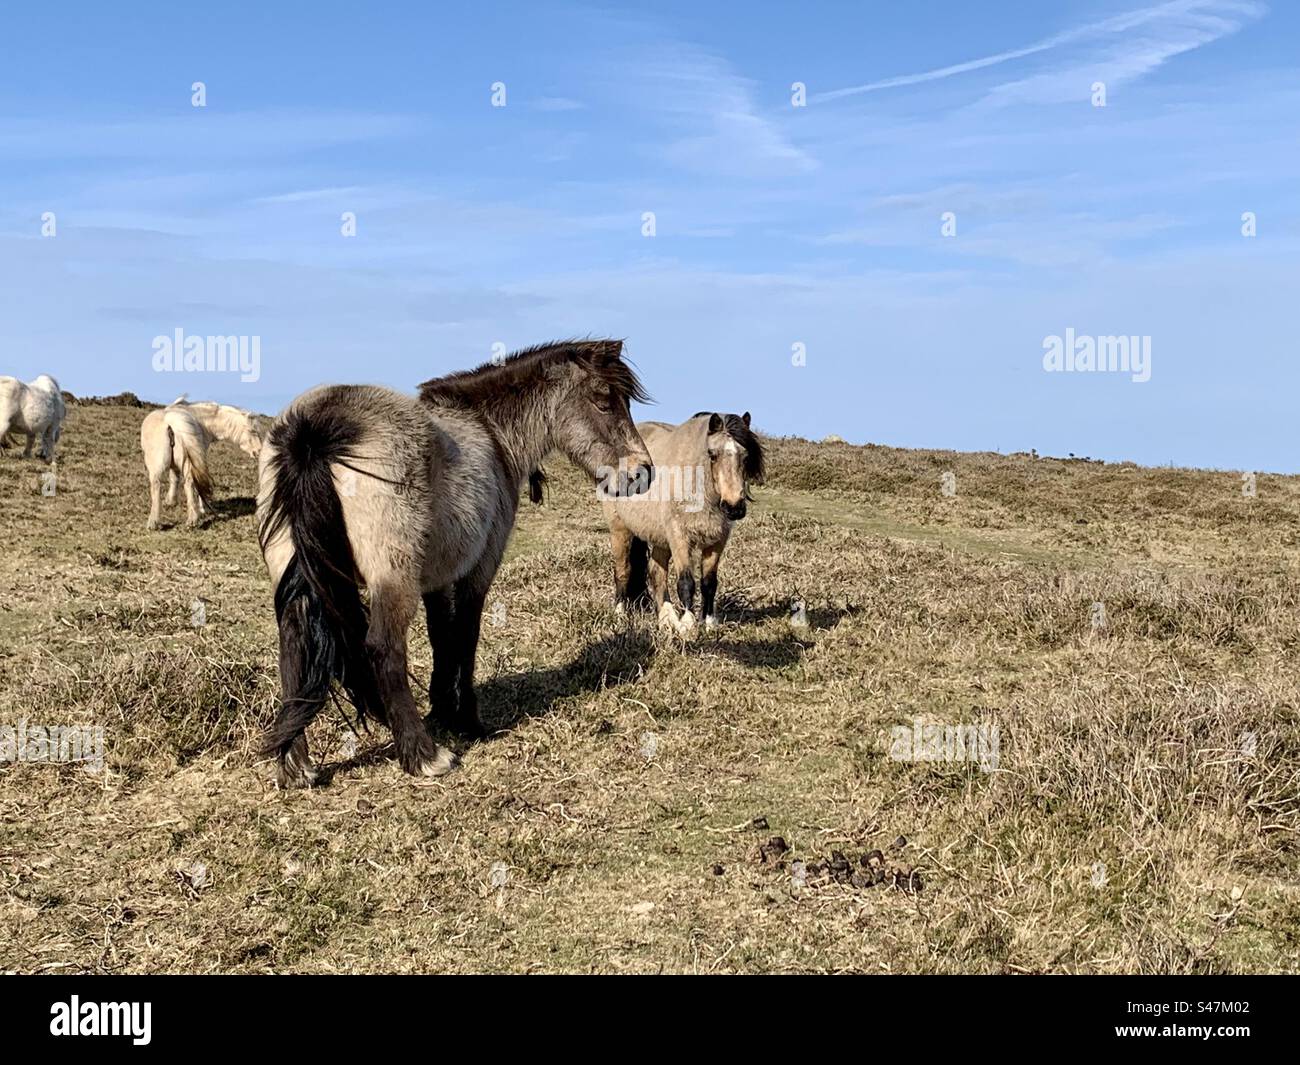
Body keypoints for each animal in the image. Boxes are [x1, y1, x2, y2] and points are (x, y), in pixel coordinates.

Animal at [142, 397, 263, 530]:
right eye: (252, 431)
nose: (259, 451)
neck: (201, 420)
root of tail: (171, 421)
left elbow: (174, 478)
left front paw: (171, 502)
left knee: (168, 484)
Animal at [254, 338, 655, 785]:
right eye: (604, 401)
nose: (644, 472)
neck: (490, 433)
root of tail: (313, 429)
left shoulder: (436, 579)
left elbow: (441, 638)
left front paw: (443, 709)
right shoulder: (477, 572)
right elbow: (465, 637)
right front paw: (467, 721)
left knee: (293, 647)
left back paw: (296, 766)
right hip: (392, 580)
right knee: (382, 649)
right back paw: (423, 755)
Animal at [603, 413, 764, 637]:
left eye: (746, 456)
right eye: (712, 455)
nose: (734, 507)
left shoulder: (716, 542)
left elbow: (709, 583)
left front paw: (709, 623)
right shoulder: (679, 538)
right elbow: (686, 582)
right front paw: (688, 625)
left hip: (659, 538)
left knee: (656, 572)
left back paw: (667, 620)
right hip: (621, 530)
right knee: (623, 571)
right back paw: (619, 617)